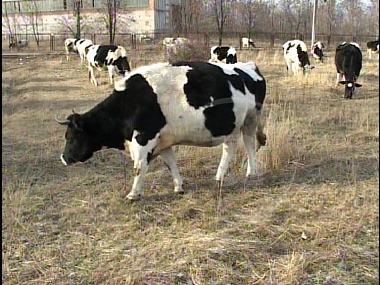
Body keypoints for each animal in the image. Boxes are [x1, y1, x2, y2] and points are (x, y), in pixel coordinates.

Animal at [55, 60, 268, 200]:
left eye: (71, 137)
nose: (63, 158)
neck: (128, 104)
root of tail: (249, 66)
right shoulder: (163, 141)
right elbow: (170, 163)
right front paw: (178, 187)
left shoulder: (144, 139)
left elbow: (139, 167)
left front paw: (133, 194)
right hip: (236, 125)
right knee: (231, 147)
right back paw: (221, 176)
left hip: (250, 119)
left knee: (249, 145)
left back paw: (250, 173)